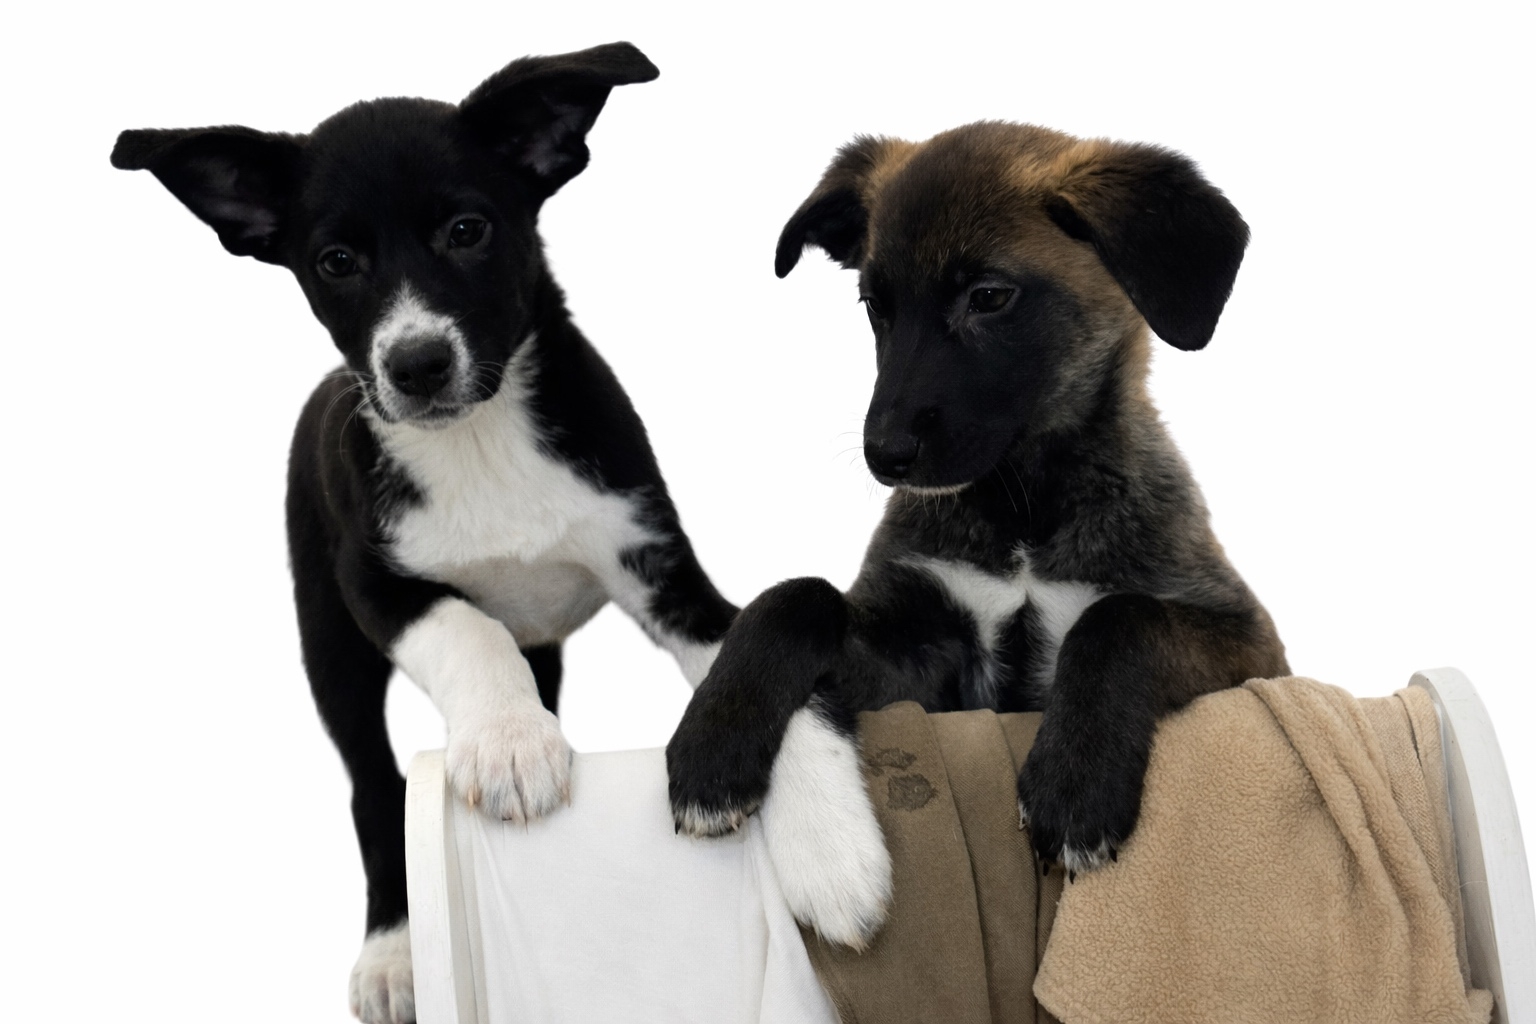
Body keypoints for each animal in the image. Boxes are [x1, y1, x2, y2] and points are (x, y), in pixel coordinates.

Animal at [112, 42, 737, 1024]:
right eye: (335, 260)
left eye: (468, 230)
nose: (416, 364)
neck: (481, 439)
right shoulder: (372, 582)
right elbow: (467, 629)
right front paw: (510, 744)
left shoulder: (657, 555)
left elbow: (726, 646)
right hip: (327, 639)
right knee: (375, 790)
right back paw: (392, 954)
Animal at [666, 121, 1289, 949]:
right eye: (875, 304)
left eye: (989, 297)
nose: (884, 453)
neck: (1023, 508)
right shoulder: (922, 673)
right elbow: (796, 595)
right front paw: (714, 737)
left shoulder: (1254, 649)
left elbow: (1118, 615)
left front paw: (1077, 780)